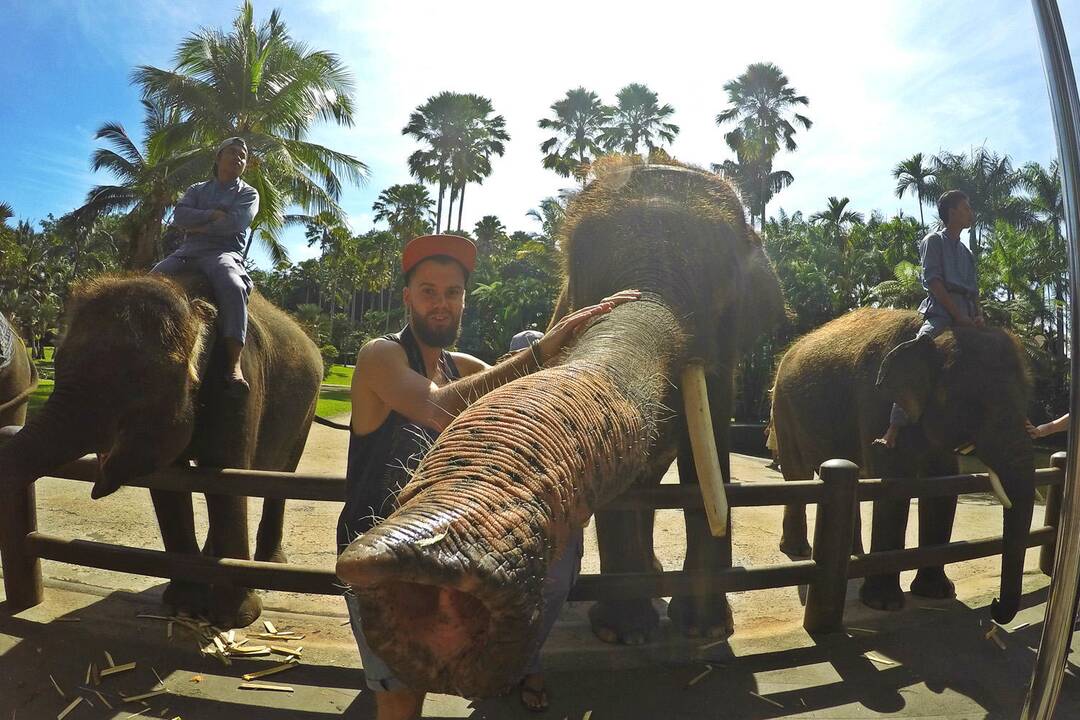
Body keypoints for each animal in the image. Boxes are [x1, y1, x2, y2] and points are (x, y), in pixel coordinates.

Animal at [0, 273, 319, 626]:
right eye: (58, 363)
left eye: (137, 379)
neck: (185, 294)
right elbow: (168, 483)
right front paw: (184, 605)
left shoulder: (238, 384)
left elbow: (225, 477)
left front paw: (235, 619)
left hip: (307, 410)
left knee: (282, 474)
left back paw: (269, 564)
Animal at [336, 158, 786, 699]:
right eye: (585, 276)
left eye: (719, 284)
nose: (433, 585)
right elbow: (624, 488)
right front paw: (625, 634)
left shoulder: (723, 365)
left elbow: (708, 466)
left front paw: (705, 630)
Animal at [773, 306, 1032, 621]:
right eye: (973, 404)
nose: (994, 605)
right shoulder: (877, 401)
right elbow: (893, 483)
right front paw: (883, 604)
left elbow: (942, 485)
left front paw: (937, 593)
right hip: (783, 409)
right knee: (796, 473)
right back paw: (798, 550)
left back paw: (852, 556)